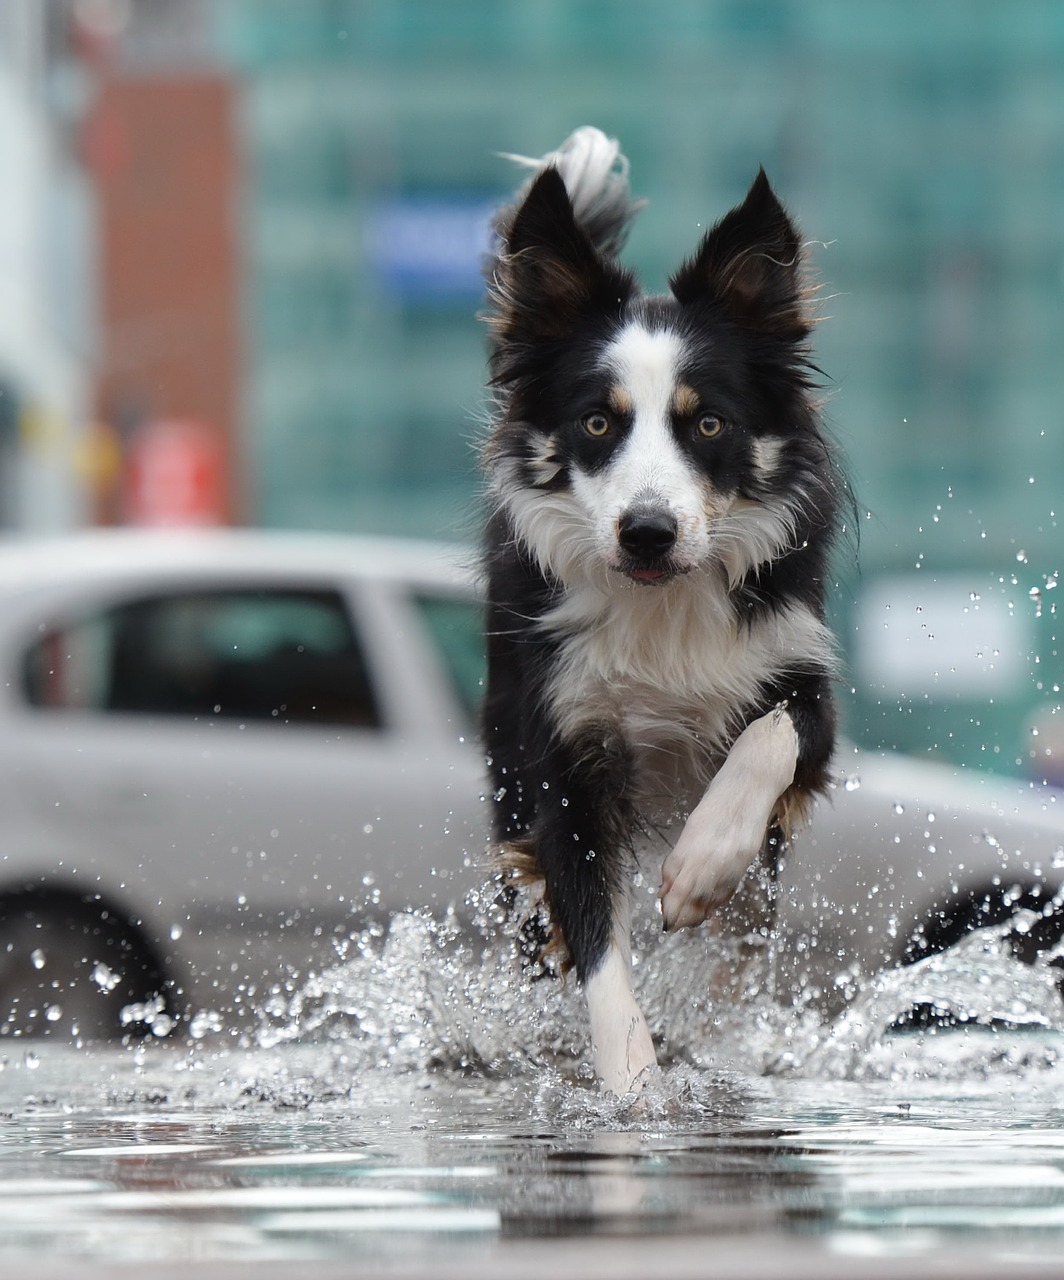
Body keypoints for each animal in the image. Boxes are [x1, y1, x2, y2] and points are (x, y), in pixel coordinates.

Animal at [483, 127, 850, 1090]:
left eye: (708, 423)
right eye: (598, 423)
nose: (646, 533)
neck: (664, 602)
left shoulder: (803, 675)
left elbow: (770, 738)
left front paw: (698, 869)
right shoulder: (563, 749)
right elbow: (596, 941)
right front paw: (633, 1086)